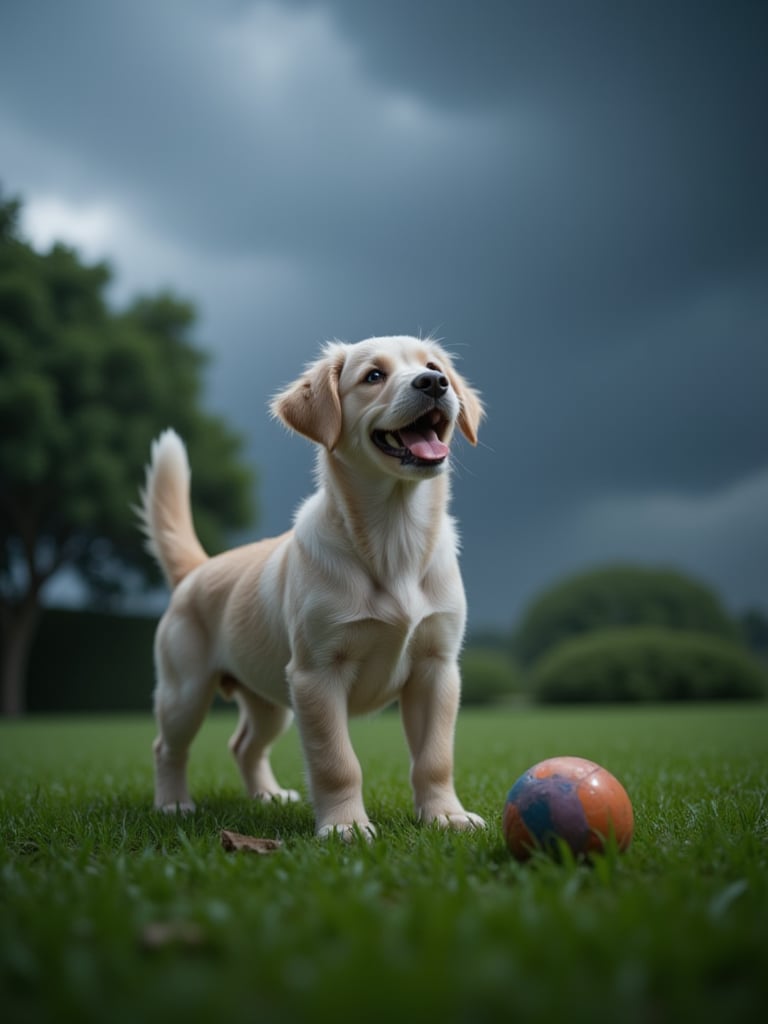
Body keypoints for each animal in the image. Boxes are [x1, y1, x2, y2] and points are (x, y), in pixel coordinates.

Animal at [138, 335, 487, 839]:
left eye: (434, 366)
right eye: (373, 376)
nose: (433, 383)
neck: (395, 537)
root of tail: (197, 569)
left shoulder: (436, 668)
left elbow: (435, 757)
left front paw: (446, 815)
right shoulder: (316, 674)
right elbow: (336, 761)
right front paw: (345, 827)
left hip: (269, 699)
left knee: (244, 744)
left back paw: (267, 796)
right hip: (185, 690)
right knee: (167, 746)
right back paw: (173, 804)